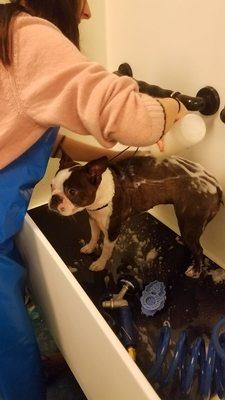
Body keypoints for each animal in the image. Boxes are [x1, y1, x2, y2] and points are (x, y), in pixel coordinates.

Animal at [48, 152, 222, 276]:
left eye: (72, 192)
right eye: (51, 186)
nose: (54, 199)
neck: (103, 193)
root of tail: (216, 186)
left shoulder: (113, 230)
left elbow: (106, 250)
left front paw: (100, 264)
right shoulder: (93, 218)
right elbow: (94, 235)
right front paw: (90, 247)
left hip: (190, 223)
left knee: (199, 249)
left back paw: (196, 270)